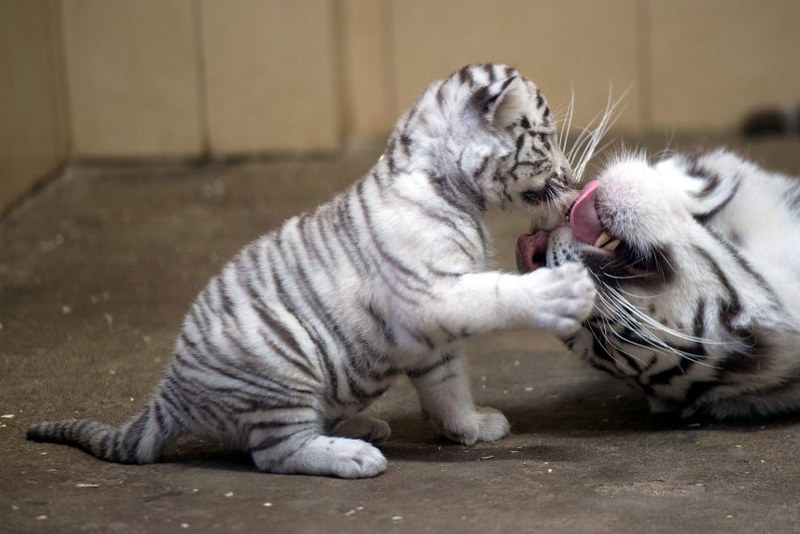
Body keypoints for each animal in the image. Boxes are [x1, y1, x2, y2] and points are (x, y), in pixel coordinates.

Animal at [27, 63, 596, 478]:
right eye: (545, 137)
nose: (572, 177)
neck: (452, 189)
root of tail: (170, 390)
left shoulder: (432, 336)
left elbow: (447, 384)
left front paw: (471, 426)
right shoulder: (430, 294)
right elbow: (496, 294)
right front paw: (558, 293)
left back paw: (362, 428)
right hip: (281, 360)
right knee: (274, 453)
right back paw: (352, 455)